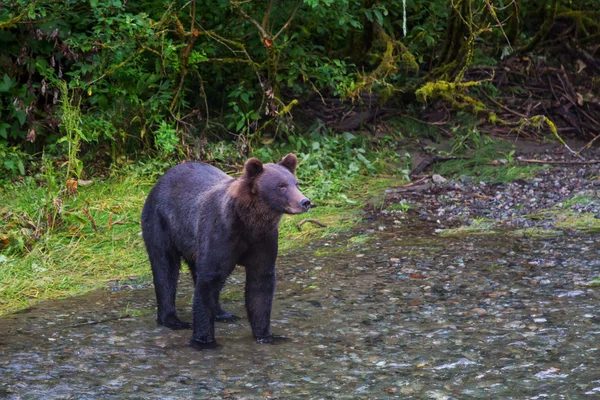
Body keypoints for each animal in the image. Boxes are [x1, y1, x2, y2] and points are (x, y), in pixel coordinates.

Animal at [141, 155, 310, 348]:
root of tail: (161, 179)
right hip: (162, 224)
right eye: (281, 185)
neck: (249, 222)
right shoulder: (221, 233)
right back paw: (172, 319)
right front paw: (204, 340)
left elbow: (261, 285)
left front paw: (266, 335)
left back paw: (223, 313)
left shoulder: (263, 240)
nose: (305, 202)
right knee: (165, 268)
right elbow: (209, 279)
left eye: (296, 183)